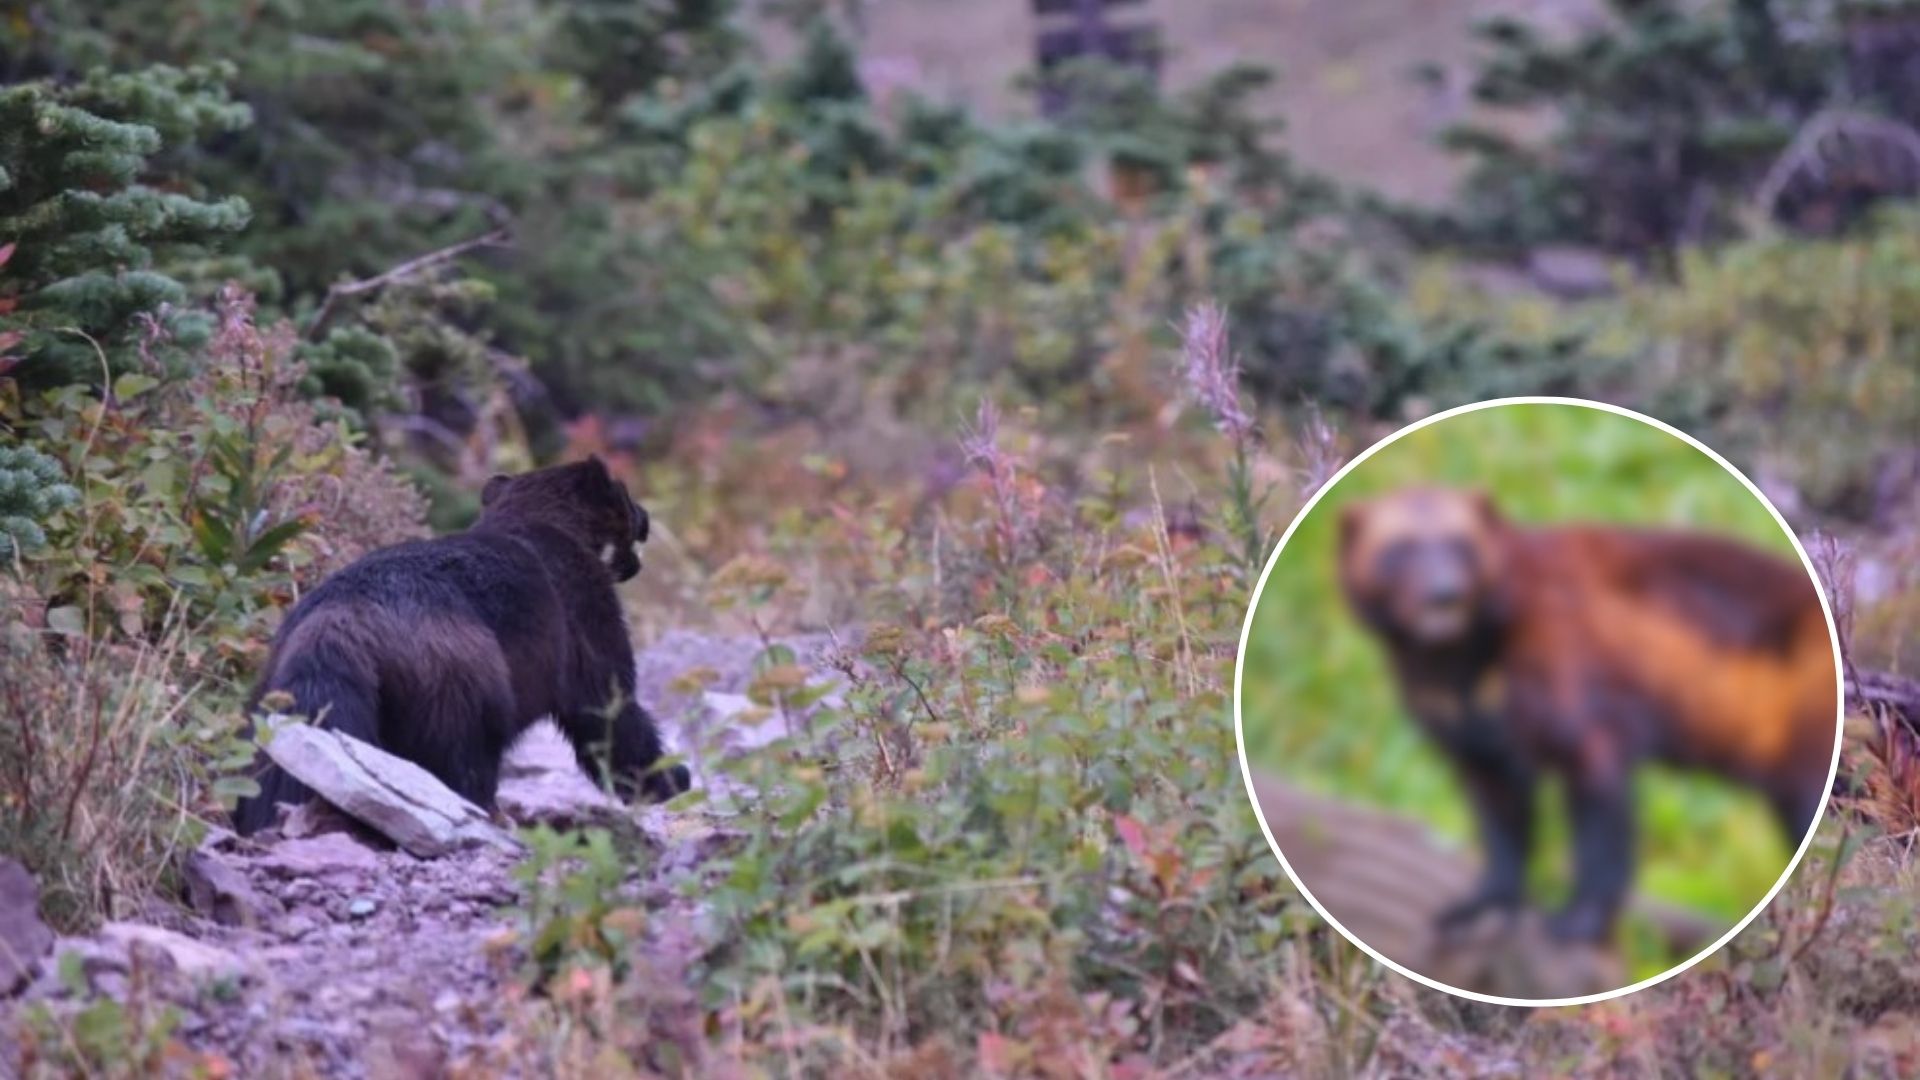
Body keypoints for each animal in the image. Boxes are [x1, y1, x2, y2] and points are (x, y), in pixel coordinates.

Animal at [233, 453, 695, 834]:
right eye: (624, 493)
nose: (647, 516)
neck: (542, 522)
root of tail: (335, 624)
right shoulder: (586, 611)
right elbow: (608, 707)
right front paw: (672, 780)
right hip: (457, 686)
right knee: (462, 759)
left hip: (275, 693)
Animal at [1344, 486, 1835, 941]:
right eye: (1397, 549)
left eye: (1461, 542)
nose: (1444, 594)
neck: (1469, 680)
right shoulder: (1473, 747)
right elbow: (1503, 833)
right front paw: (1479, 907)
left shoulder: (1584, 720)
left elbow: (1601, 839)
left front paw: (1578, 920)